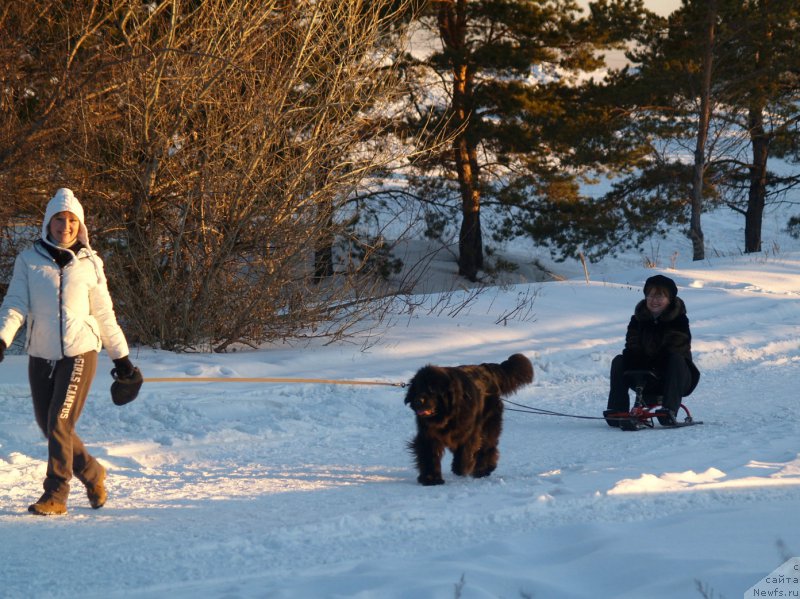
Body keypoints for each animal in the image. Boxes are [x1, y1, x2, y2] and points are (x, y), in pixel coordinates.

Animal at [406, 354, 532, 486]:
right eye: (417, 389)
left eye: (432, 390)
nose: (418, 401)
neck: (447, 417)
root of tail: (486, 368)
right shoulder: (428, 435)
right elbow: (429, 454)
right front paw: (431, 479)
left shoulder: (469, 432)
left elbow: (466, 451)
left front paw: (461, 468)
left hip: (488, 422)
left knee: (488, 445)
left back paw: (483, 469)